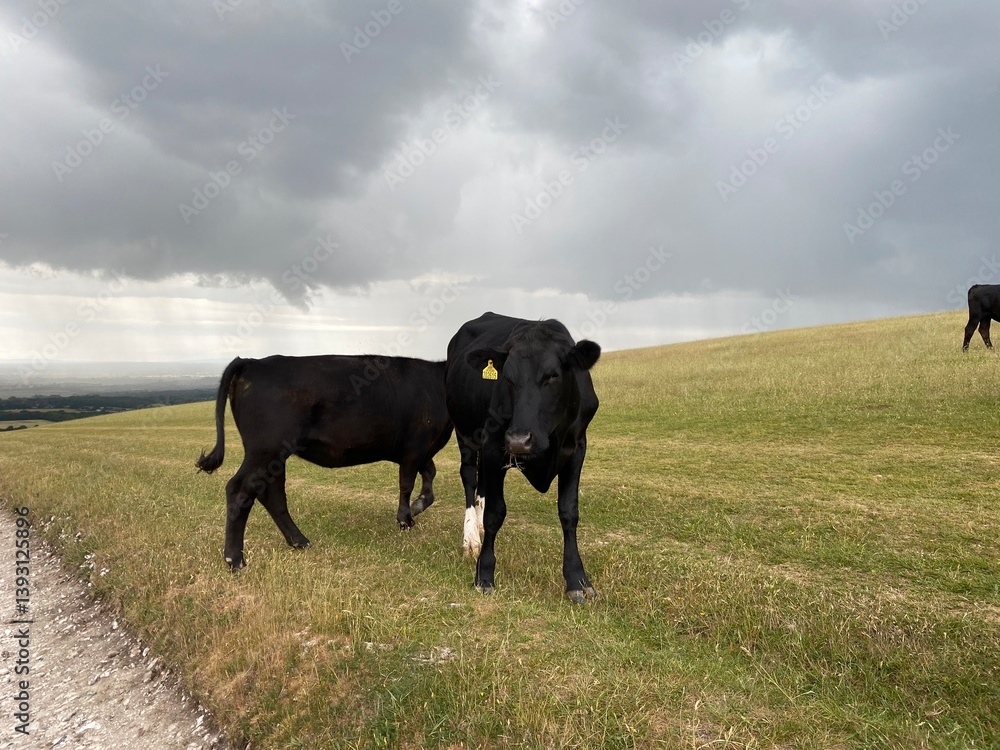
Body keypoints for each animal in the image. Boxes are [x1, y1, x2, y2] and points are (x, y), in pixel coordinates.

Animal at [196, 354, 453, 570]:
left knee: (272, 494)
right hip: (264, 450)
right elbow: (407, 484)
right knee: (239, 489)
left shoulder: (424, 451)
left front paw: (418, 506)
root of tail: (251, 361)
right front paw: (405, 519)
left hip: (274, 457)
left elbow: (430, 474)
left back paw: (299, 541)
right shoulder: (415, 448)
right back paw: (235, 559)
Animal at [445, 312, 601, 603]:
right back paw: (471, 537)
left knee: (482, 484)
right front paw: (484, 575)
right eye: (507, 378)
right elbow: (495, 513)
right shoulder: (494, 444)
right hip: (464, 433)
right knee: (470, 477)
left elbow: (569, 512)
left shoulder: (577, 447)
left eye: (552, 376)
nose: (519, 440)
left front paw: (577, 579)